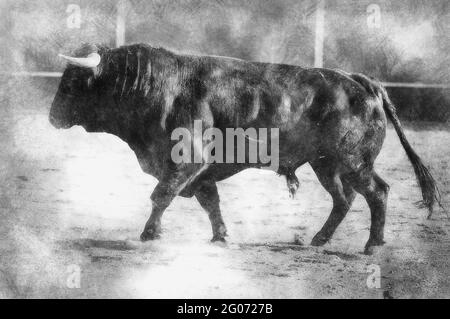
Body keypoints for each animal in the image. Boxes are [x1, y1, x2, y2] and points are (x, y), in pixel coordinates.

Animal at [49, 44, 440, 255]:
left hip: (355, 162)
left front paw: (149, 234)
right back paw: (319, 239)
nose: (52, 116)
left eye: (71, 82)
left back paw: (373, 244)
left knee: (377, 192)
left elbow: (161, 195)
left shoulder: (186, 160)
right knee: (344, 199)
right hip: (326, 164)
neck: (155, 86)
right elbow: (210, 202)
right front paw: (221, 236)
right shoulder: (200, 171)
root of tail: (363, 82)